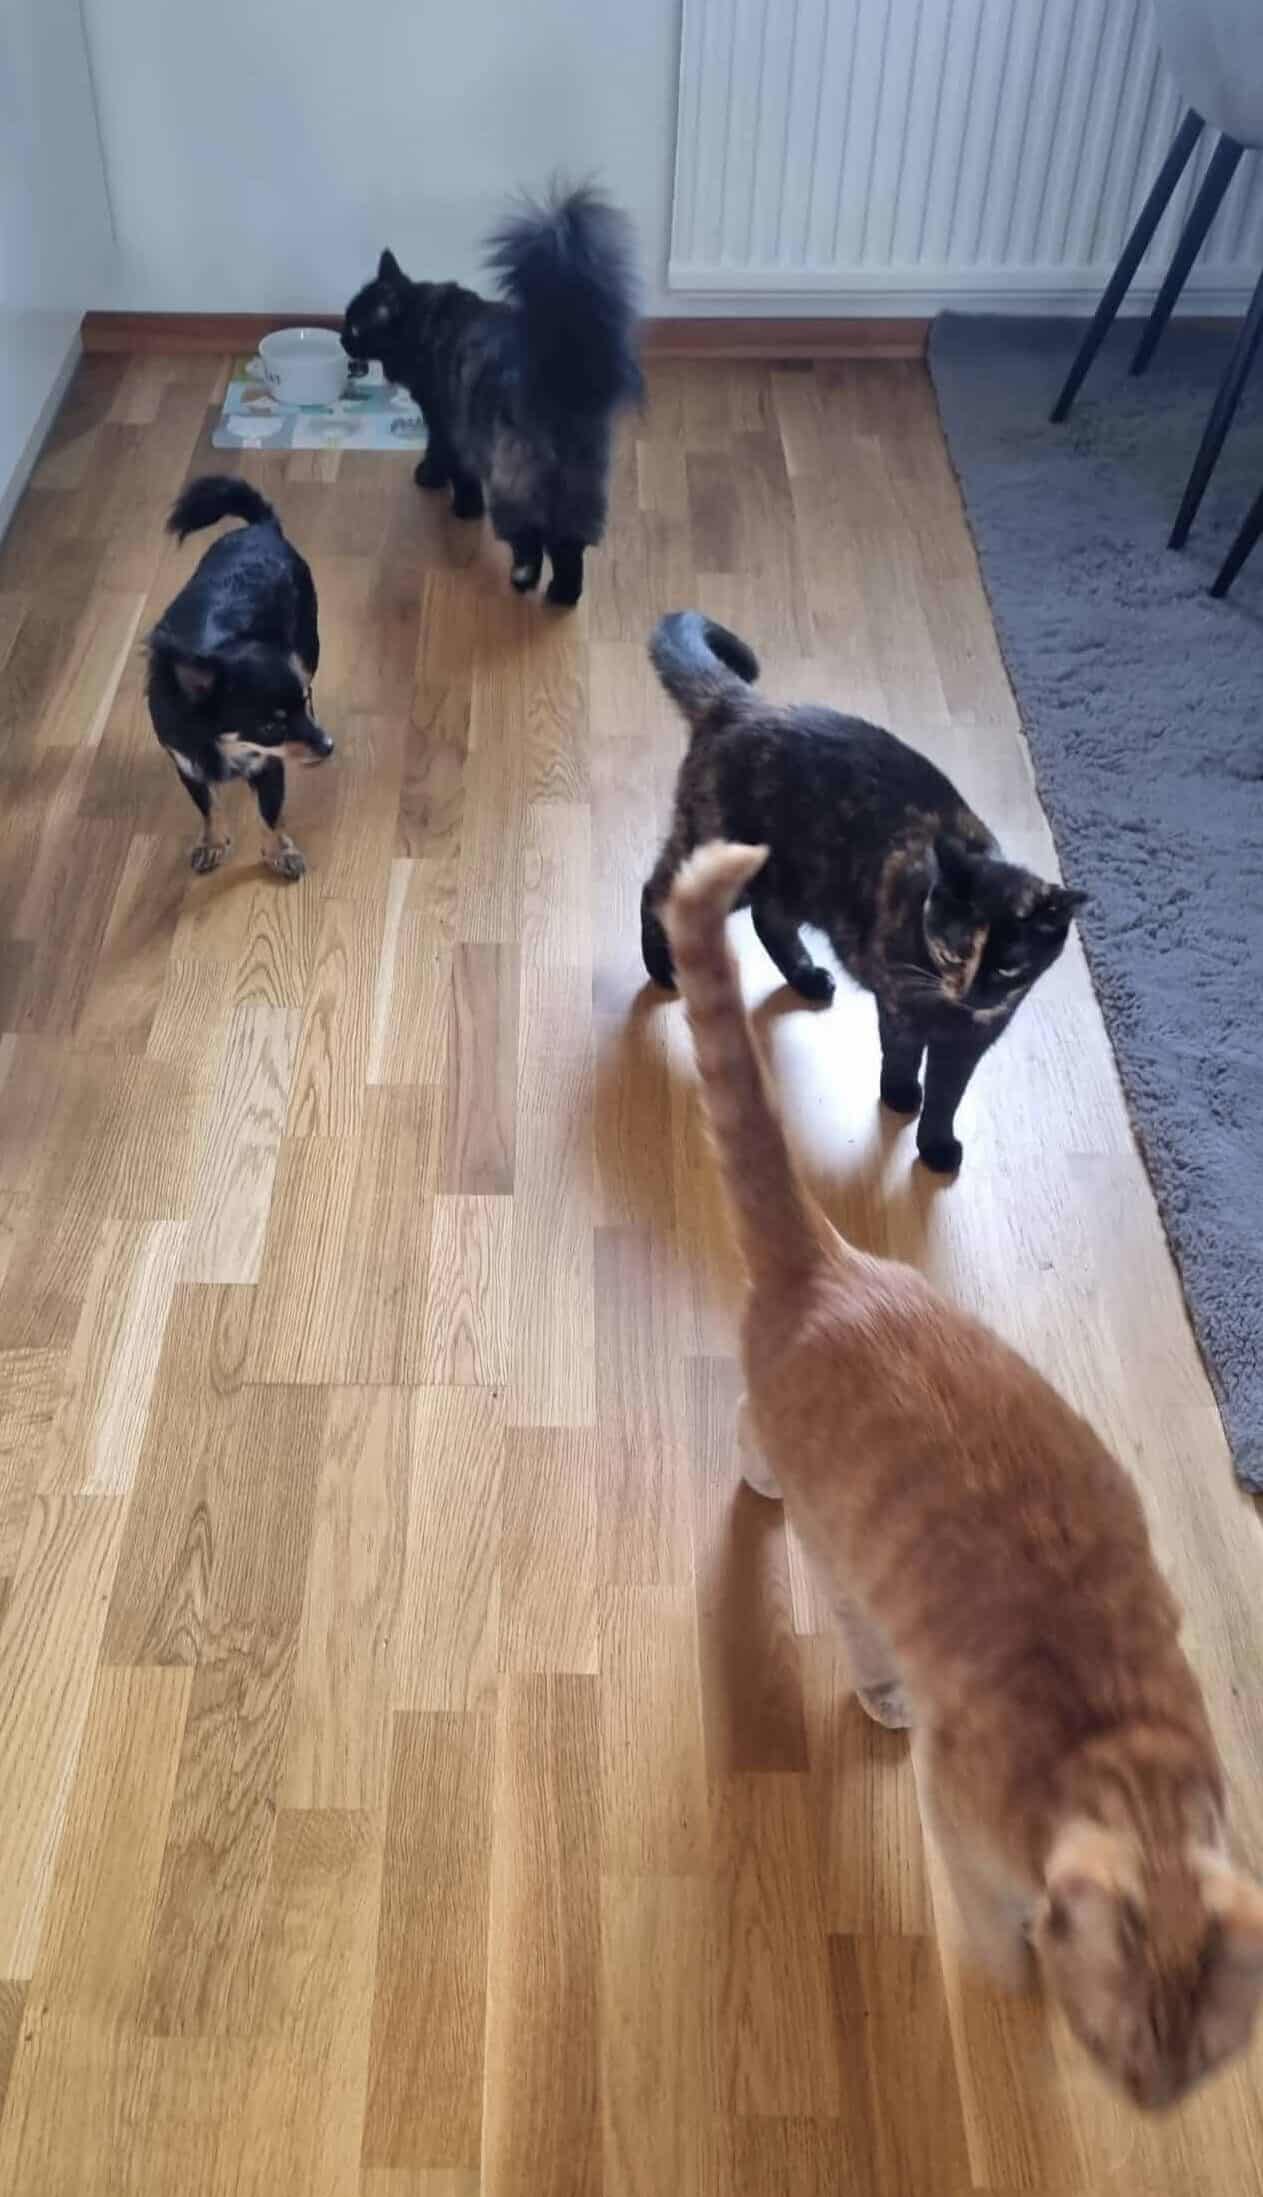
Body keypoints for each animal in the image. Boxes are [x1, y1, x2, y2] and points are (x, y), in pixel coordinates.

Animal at [147, 477, 334, 881]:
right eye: (270, 727)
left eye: (301, 705)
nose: (329, 745)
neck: (225, 744)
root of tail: (261, 526)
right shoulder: (188, 764)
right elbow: (208, 806)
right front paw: (213, 842)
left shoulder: (269, 765)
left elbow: (270, 814)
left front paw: (279, 852)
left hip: (308, 646)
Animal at [341, 182, 641, 605]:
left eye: (354, 326)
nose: (340, 338)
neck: (422, 318)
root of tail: (560, 373)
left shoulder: (445, 421)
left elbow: (448, 461)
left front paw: (450, 496)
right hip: (582, 484)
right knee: (569, 547)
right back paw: (563, 594)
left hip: (514, 479)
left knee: (531, 539)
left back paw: (523, 578)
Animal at [642, 612, 1086, 1172]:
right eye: (954, 950)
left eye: (1009, 967)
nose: (973, 992)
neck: (952, 1010)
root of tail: (740, 704)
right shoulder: (899, 1003)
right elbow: (900, 1053)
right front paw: (900, 1097)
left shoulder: (972, 1041)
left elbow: (949, 1094)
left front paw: (935, 1144)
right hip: (724, 861)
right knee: (656, 891)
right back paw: (662, 967)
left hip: (792, 879)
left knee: (770, 920)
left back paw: (807, 978)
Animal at [662, 837, 1263, 2110]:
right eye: (1122, 2048)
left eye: (1202, 2063)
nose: (1152, 2106)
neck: (1124, 1767)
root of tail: (836, 1265)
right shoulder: (958, 1820)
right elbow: (995, 1924)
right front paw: (1012, 1970)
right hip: (839, 1553)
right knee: (757, 1454)